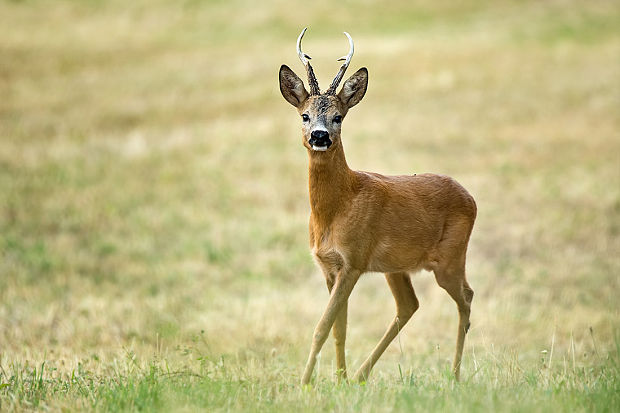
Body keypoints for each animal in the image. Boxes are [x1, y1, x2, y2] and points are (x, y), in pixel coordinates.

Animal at [280, 28, 480, 384]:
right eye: (305, 115)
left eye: (338, 117)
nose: (319, 136)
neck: (335, 209)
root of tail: (470, 197)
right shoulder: (330, 266)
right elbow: (339, 329)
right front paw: (339, 380)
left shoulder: (354, 261)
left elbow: (321, 327)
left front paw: (304, 384)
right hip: (396, 266)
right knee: (409, 305)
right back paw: (361, 376)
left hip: (450, 257)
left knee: (466, 297)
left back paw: (455, 376)